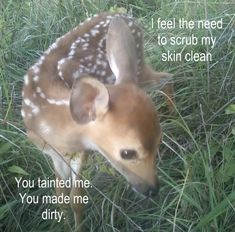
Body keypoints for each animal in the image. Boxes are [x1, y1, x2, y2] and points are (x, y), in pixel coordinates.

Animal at [21, 12, 173, 230]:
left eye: (158, 142)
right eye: (127, 153)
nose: (152, 190)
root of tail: (125, 15)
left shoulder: (81, 151)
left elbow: (76, 198)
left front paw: (77, 227)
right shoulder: (52, 153)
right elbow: (60, 195)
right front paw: (65, 224)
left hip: (138, 69)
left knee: (168, 76)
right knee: (166, 76)